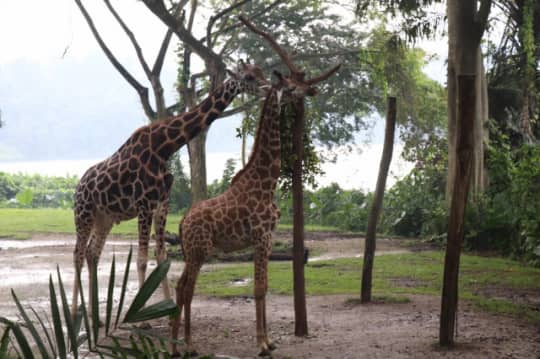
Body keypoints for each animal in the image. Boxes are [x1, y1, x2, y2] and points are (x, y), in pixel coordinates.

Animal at [69, 62, 268, 324]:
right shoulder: (144, 204)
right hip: (84, 214)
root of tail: (78, 187)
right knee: (78, 253)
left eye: (260, 72)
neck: (164, 148)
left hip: (105, 218)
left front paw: (167, 309)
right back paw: (74, 312)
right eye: (248, 77)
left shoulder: (163, 203)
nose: (267, 87)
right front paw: (140, 318)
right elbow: (142, 260)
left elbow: (161, 255)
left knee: (93, 253)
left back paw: (95, 316)